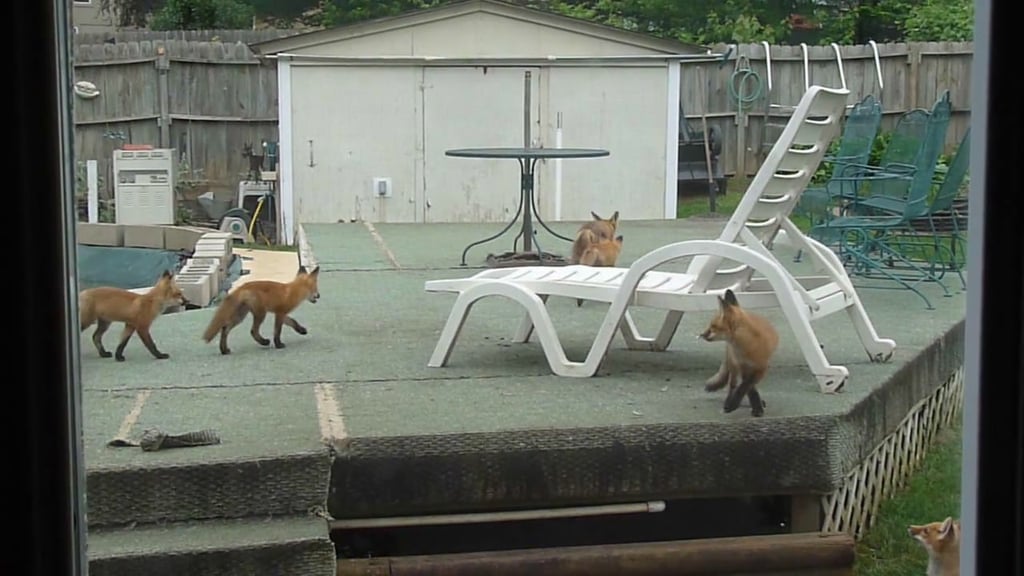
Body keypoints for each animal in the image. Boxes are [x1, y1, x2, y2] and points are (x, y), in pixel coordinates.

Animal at [698, 289, 779, 417]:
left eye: (713, 327)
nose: (701, 334)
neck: (747, 348)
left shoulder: (761, 368)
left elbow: (745, 386)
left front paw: (741, 405)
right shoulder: (742, 366)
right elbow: (746, 388)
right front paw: (734, 404)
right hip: (734, 366)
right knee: (733, 385)